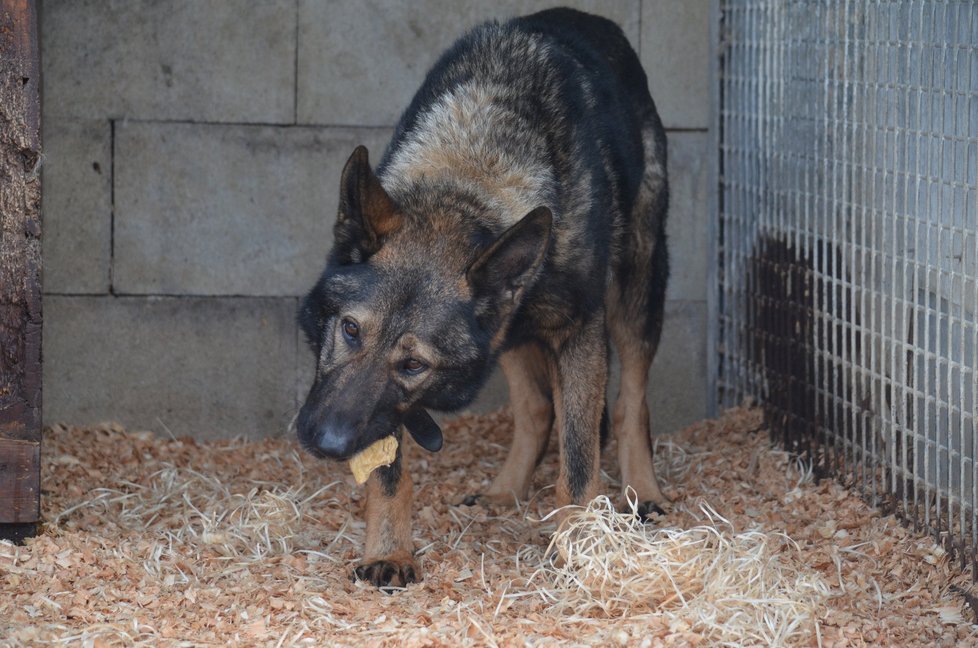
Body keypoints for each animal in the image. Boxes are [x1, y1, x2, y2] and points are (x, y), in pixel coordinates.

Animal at [294, 6, 668, 592]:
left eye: (414, 364)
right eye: (350, 330)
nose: (326, 445)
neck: (470, 180)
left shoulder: (580, 332)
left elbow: (579, 463)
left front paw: (579, 550)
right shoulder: (387, 405)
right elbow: (388, 473)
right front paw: (390, 552)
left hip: (635, 295)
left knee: (630, 401)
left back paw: (641, 492)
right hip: (507, 337)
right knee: (537, 408)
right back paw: (504, 492)